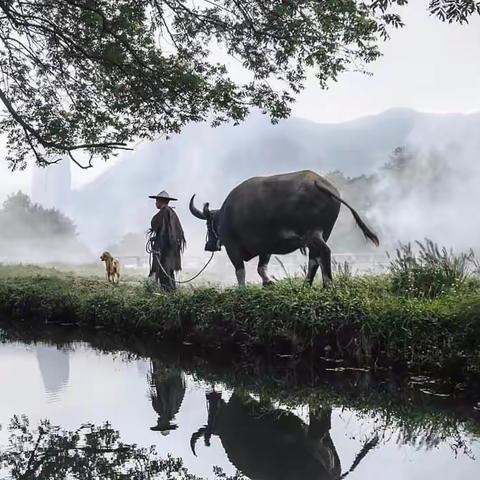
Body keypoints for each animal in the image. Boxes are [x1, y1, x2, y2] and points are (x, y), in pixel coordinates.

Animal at [189, 170, 376, 284]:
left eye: (208, 223)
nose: (208, 246)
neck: (228, 213)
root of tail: (318, 182)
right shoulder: (265, 248)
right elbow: (261, 268)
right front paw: (268, 282)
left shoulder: (231, 245)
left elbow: (240, 271)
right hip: (322, 234)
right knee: (314, 259)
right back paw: (306, 285)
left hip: (312, 233)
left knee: (324, 253)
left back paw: (327, 285)